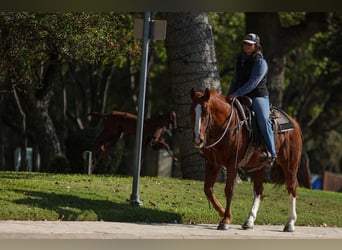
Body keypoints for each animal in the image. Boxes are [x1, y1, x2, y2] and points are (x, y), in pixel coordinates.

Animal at [190, 88, 302, 232]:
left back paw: (290, 223)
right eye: (192, 111)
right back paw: (249, 221)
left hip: (289, 164)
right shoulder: (213, 164)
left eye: (205, 112)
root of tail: (294, 123)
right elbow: (208, 189)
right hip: (260, 166)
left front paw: (226, 220)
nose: (198, 139)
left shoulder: (232, 164)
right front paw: (222, 211)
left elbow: (229, 190)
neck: (228, 126)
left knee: (292, 188)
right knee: (258, 190)